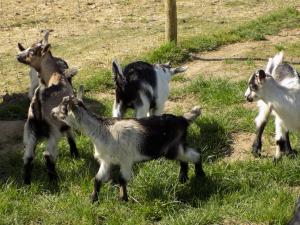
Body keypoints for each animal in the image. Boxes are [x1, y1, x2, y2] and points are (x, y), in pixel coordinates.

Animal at [16, 40, 78, 185]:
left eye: (31, 51)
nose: (18, 55)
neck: (55, 76)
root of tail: (37, 100)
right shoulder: (66, 120)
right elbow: (70, 135)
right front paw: (75, 154)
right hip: (53, 131)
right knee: (48, 154)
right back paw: (53, 180)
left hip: (30, 128)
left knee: (28, 156)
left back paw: (27, 182)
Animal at [52, 89, 206, 202]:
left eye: (63, 109)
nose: (52, 112)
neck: (102, 130)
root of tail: (182, 119)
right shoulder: (107, 161)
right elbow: (97, 179)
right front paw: (93, 200)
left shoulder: (125, 160)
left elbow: (122, 179)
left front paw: (123, 199)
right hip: (177, 147)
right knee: (185, 158)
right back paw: (183, 178)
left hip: (173, 149)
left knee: (196, 153)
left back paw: (200, 175)